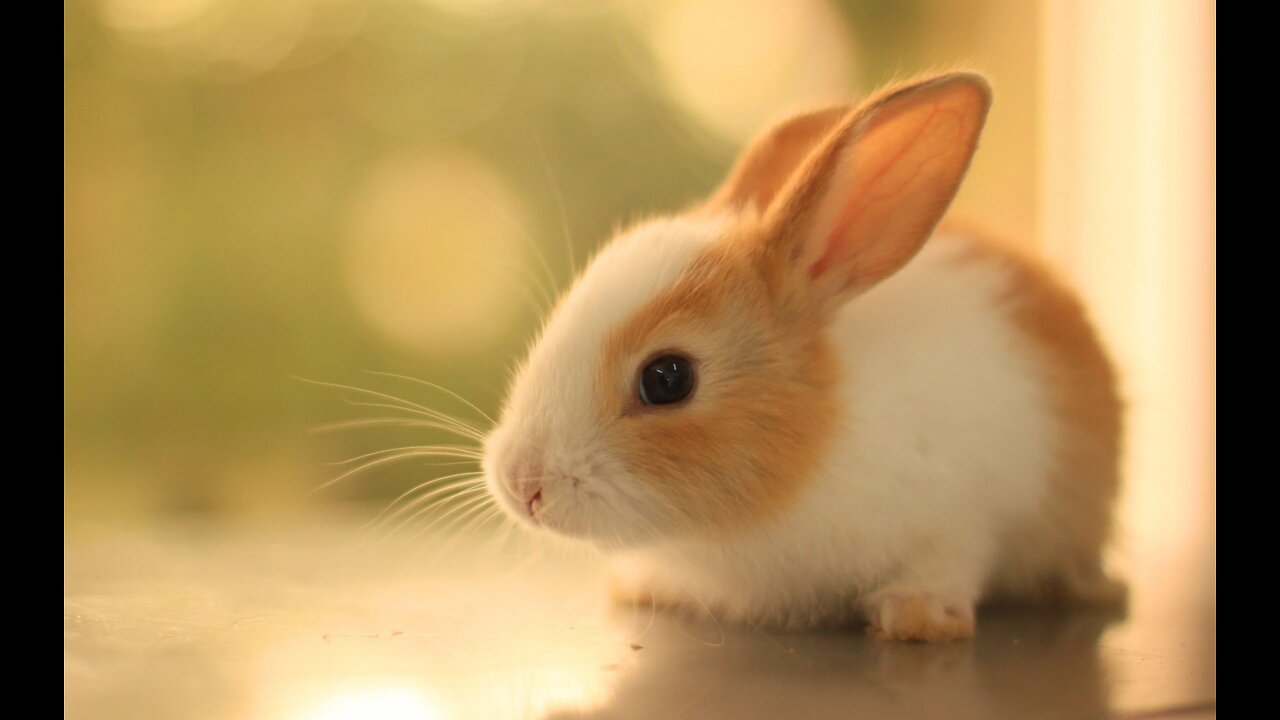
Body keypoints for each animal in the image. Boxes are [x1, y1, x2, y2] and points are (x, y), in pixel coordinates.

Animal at [478, 71, 1121, 638]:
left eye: (667, 378)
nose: (523, 483)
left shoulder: (965, 515)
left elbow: (949, 561)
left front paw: (915, 616)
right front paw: (644, 586)